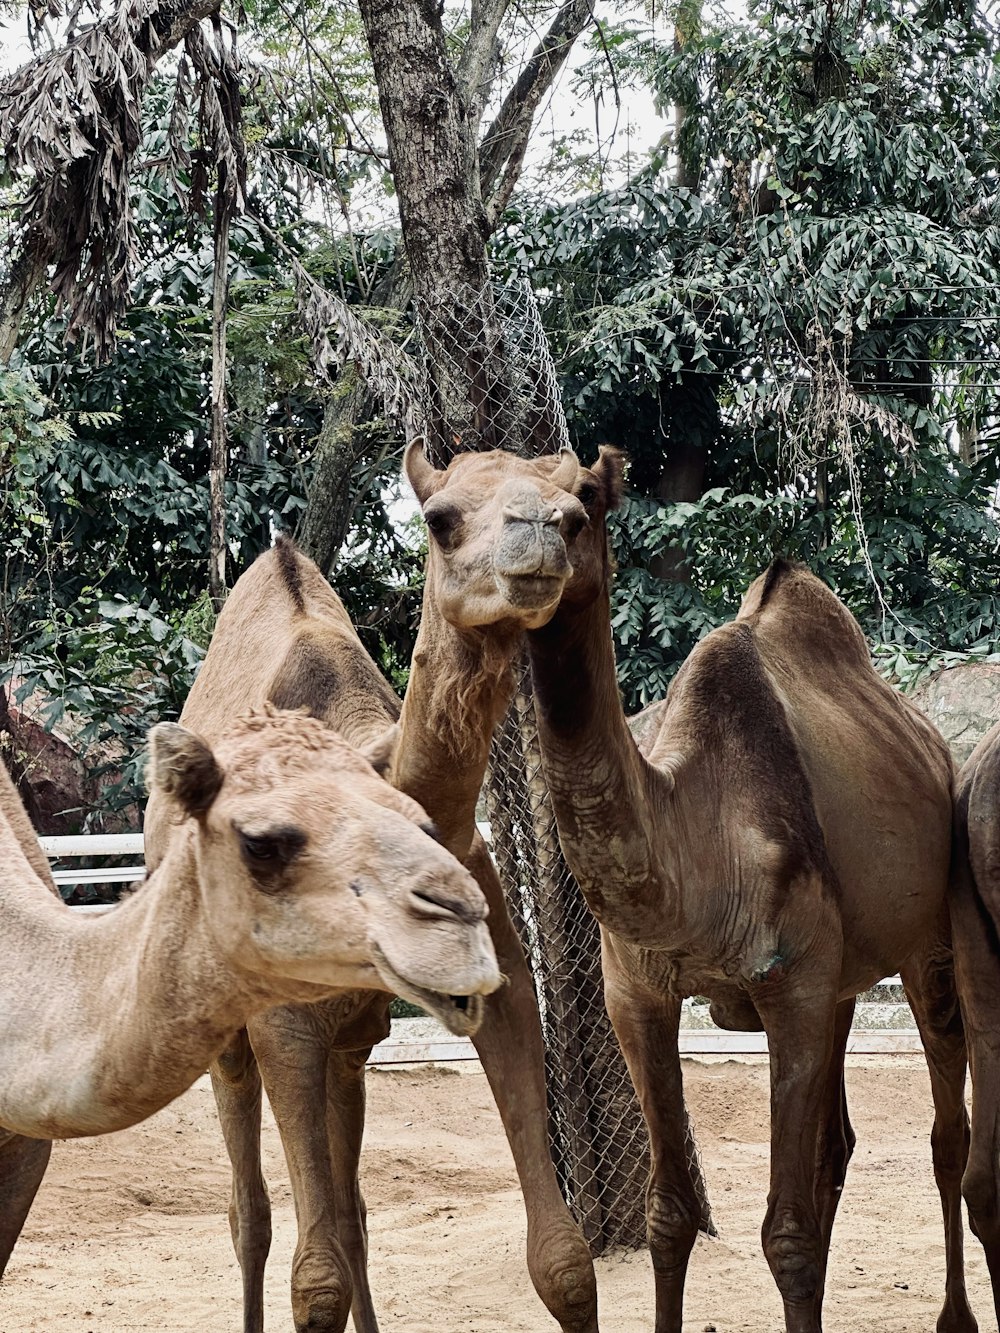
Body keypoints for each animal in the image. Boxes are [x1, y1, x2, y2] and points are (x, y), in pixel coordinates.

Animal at [142, 533, 602, 1333]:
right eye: (444, 522)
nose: (538, 557)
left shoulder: (491, 987)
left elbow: (566, 1264)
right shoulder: (284, 1025)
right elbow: (315, 1281)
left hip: (351, 1046)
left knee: (348, 1206)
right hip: (227, 1031)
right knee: (250, 1209)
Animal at [402, 442, 981, 1333]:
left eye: (582, 506)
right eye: (439, 518)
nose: (537, 541)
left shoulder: (794, 987)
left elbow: (786, 1231)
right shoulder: (639, 995)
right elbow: (670, 1213)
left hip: (928, 941)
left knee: (945, 1133)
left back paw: (957, 1313)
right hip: (846, 980)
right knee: (838, 1145)